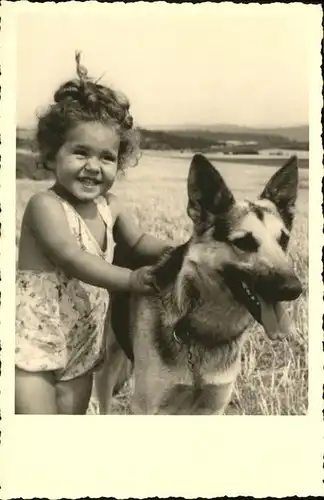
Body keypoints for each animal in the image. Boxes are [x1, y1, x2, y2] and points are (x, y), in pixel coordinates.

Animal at [95, 154, 302, 416]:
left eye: (284, 240)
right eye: (244, 242)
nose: (295, 289)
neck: (205, 333)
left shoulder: (212, 406)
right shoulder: (147, 407)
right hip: (107, 368)